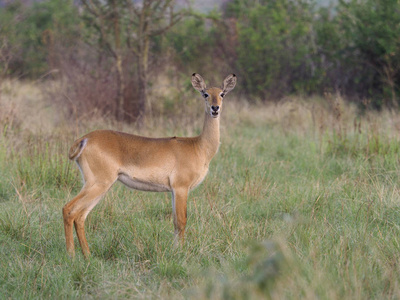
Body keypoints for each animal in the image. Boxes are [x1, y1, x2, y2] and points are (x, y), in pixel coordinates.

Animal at [63, 74, 238, 256]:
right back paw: (71, 255)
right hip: (99, 183)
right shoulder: (181, 188)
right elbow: (181, 221)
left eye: (222, 93)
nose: (215, 108)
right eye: (205, 94)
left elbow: (175, 222)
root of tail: (84, 139)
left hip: (96, 185)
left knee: (80, 215)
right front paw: (180, 253)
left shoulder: (173, 191)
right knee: (69, 209)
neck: (198, 146)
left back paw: (87, 255)